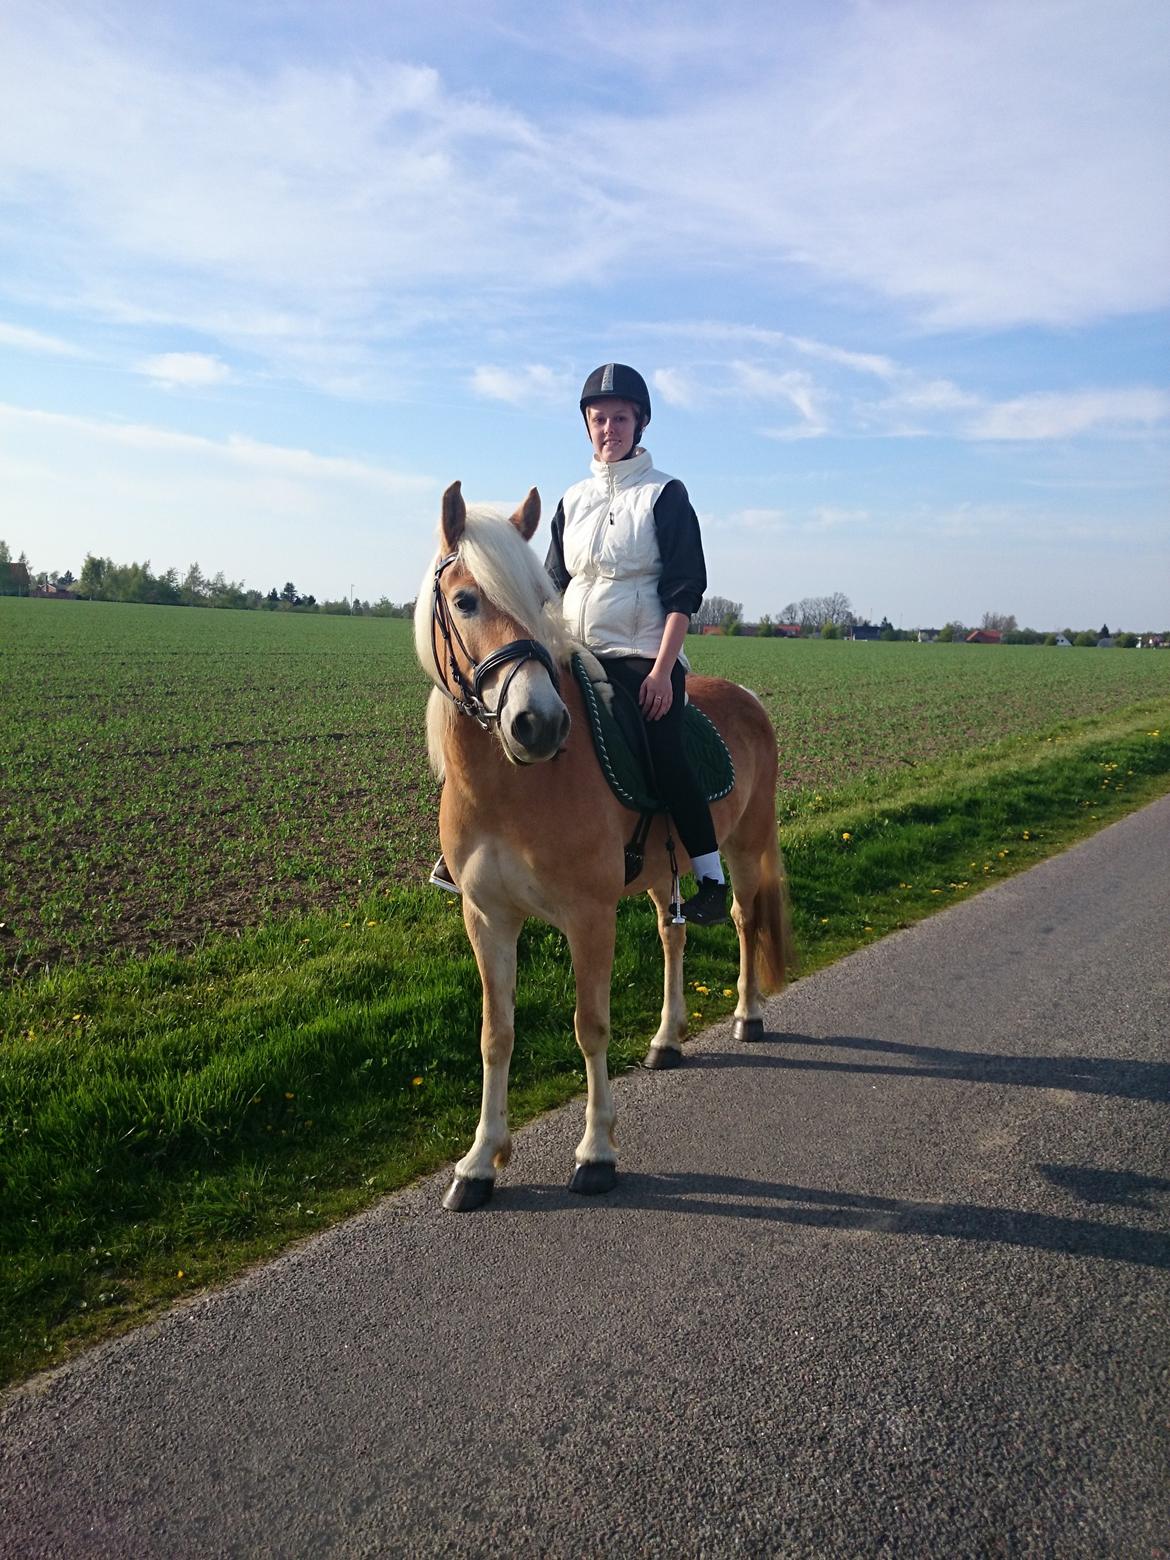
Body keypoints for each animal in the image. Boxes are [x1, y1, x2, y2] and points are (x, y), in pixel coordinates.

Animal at [418, 480, 792, 1210]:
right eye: (466, 600)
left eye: (539, 599)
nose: (539, 724)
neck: (511, 784)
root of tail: (747, 696)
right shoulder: (487, 917)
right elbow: (495, 1034)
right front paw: (479, 1163)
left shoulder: (588, 917)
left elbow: (589, 1026)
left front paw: (596, 1152)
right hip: (658, 877)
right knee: (673, 934)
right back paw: (668, 1040)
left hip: (745, 844)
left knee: (743, 917)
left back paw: (747, 1015)